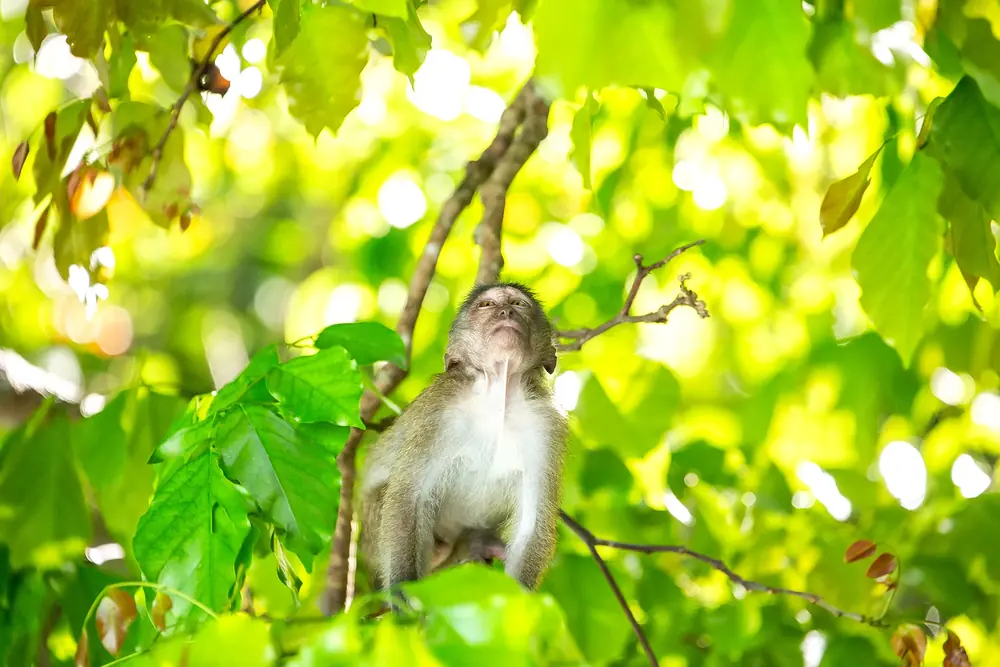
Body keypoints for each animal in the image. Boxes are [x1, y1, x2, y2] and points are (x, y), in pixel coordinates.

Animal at [359, 281, 567, 593]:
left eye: (519, 304)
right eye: (487, 305)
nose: (506, 312)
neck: (498, 401)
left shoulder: (546, 426)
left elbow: (533, 523)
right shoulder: (439, 407)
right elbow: (408, 498)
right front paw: (404, 595)